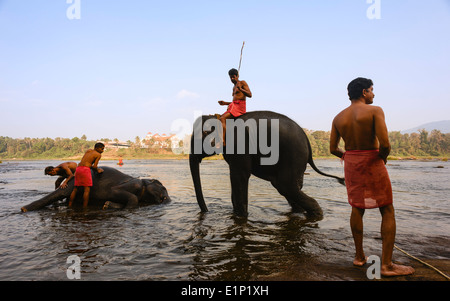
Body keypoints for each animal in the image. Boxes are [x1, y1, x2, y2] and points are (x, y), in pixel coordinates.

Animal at [20, 166, 171, 211]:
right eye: (163, 187)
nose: (165, 199)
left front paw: (107, 205)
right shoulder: (135, 184)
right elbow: (117, 193)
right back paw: (25, 209)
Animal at [190, 109, 344, 217]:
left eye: (203, 134)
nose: (206, 211)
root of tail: (307, 139)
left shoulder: (240, 145)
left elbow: (240, 176)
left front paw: (241, 216)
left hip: (293, 155)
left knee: (285, 186)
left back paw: (316, 214)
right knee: (289, 187)